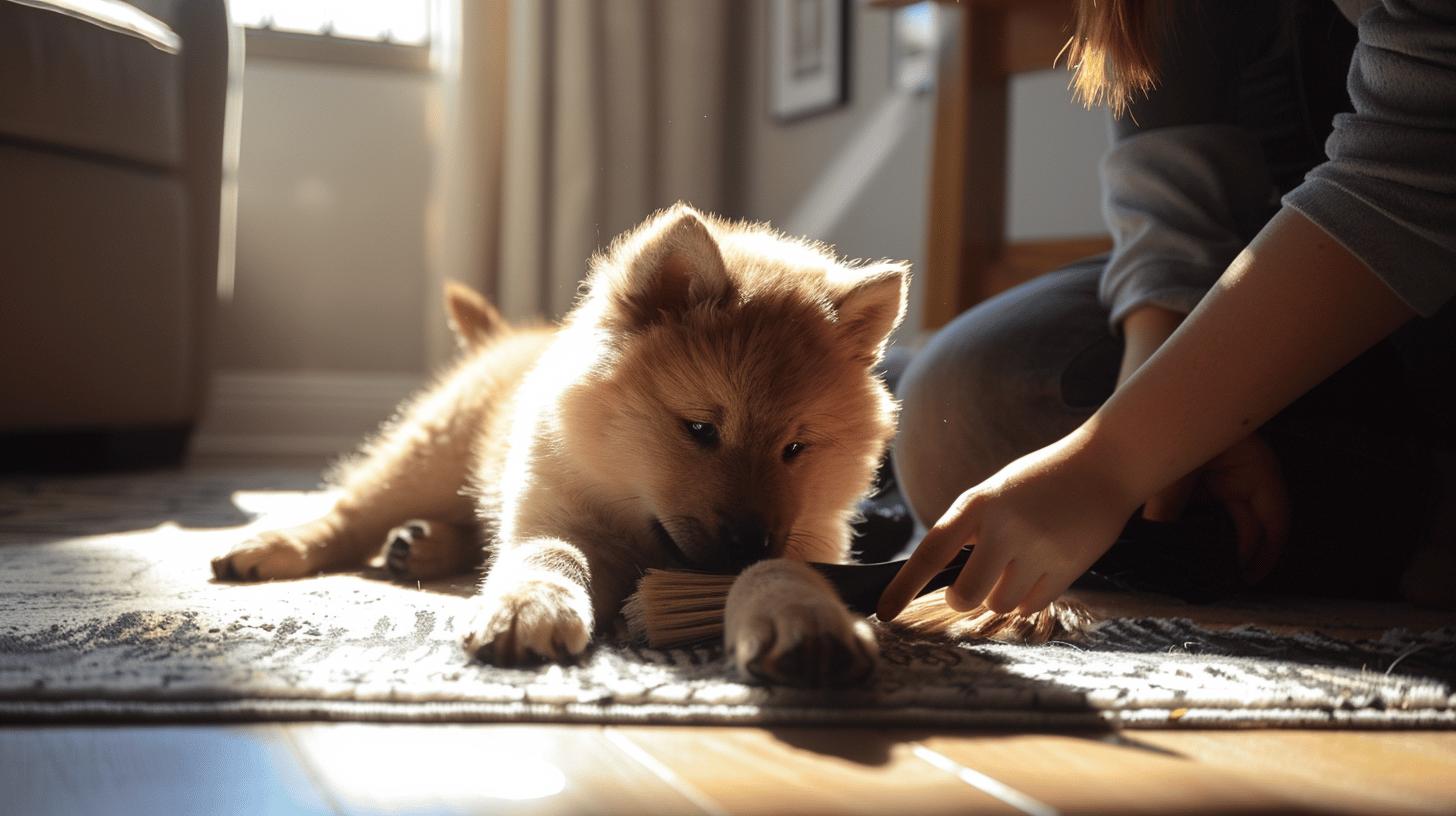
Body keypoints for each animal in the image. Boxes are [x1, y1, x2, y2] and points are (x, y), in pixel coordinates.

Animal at [211, 202, 902, 681]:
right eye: (701, 429)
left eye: (797, 449)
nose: (745, 542)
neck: (636, 520)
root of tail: (507, 338)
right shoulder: (552, 510)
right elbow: (549, 556)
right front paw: (528, 605)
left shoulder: (809, 536)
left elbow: (782, 570)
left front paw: (805, 618)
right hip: (427, 454)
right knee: (348, 512)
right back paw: (278, 544)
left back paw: (421, 544)